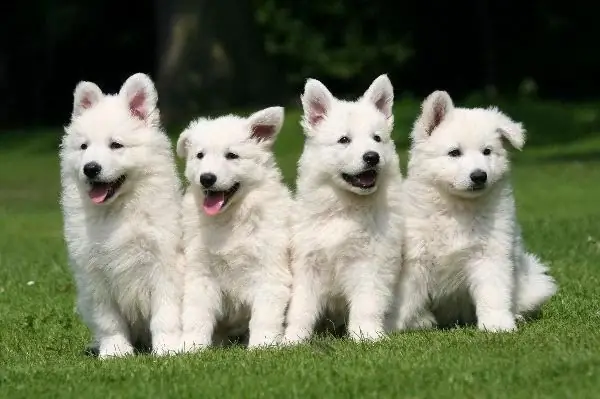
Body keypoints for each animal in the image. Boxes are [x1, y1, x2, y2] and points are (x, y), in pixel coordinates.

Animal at [60, 72, 184, 360]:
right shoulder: (94, 275)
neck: (117, 210)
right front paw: (114, 352)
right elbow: (109, 321)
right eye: (83, 147)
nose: (90, 168)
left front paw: (167, 349)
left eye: (116, 145)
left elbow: (165, 315)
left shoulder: (164, 265)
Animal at [176, 106, 292, 350]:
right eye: (200, 155)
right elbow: (196, 316)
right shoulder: (201, 273)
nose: (206, 178)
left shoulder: (270, 272)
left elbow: (264, 317)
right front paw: (191, 348)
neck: (230, 218)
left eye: (232, 156)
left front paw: (261, 348)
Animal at [284, 76, 406, 346]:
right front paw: (292, 340)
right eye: (344, 140)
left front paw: (367, 336)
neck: (344, 209)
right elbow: (301, 308)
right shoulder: (308, 264)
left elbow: (366, 304)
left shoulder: (371, 263)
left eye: (377, 139)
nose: (372, 157)